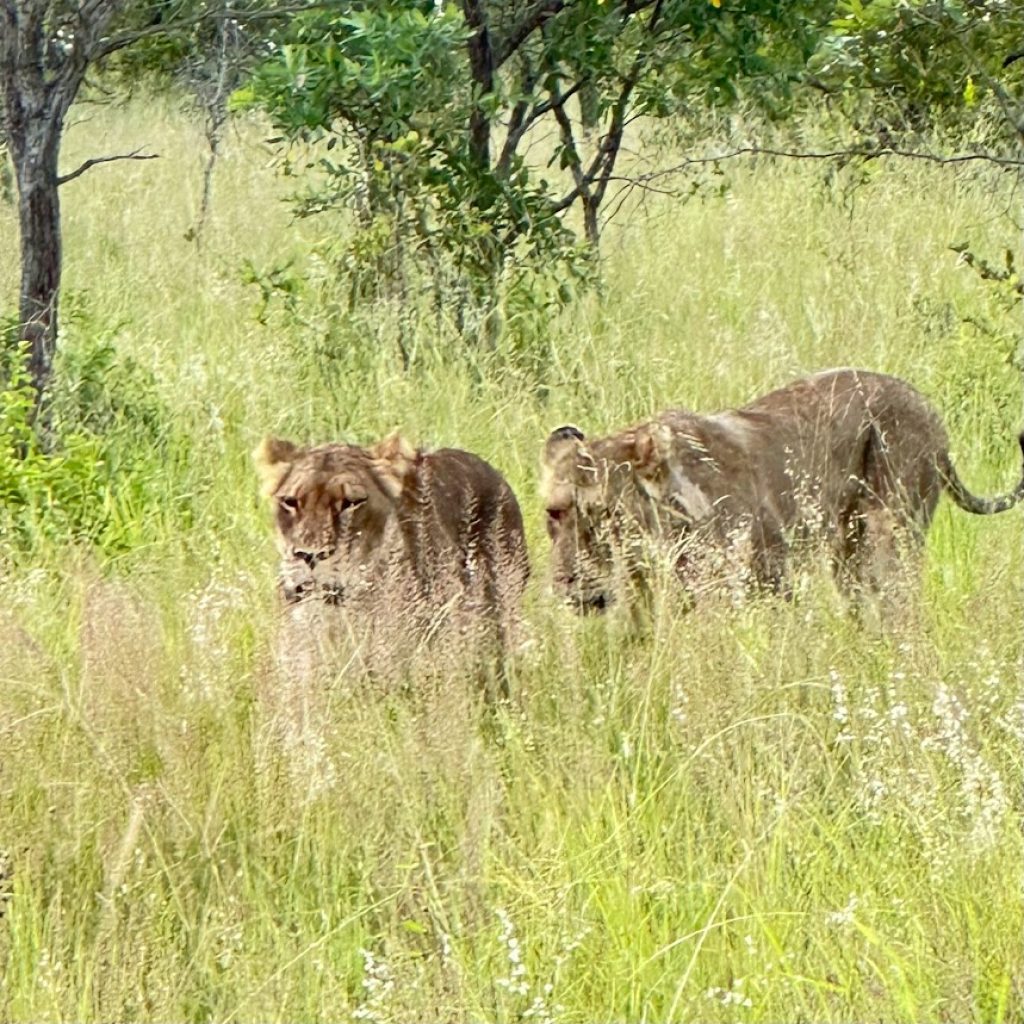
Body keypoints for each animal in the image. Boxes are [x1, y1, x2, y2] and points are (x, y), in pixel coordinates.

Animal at [541, 368, 1024, 610]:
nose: (569, 583)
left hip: (891, 535)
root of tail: (928, 407)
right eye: (554, 513)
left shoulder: (764, 578)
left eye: (603, 513)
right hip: (848, 553)